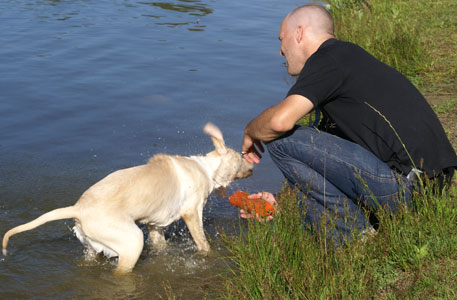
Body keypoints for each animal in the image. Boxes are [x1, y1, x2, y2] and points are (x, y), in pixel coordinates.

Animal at [1, 123, 253, 274]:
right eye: (241, 158)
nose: (252, 167)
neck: (205, 168)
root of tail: (78, 208)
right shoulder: (192, 213)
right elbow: (202, 242)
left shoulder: (154, 225)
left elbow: (160, 243)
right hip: (131, 242)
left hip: (91, 247)